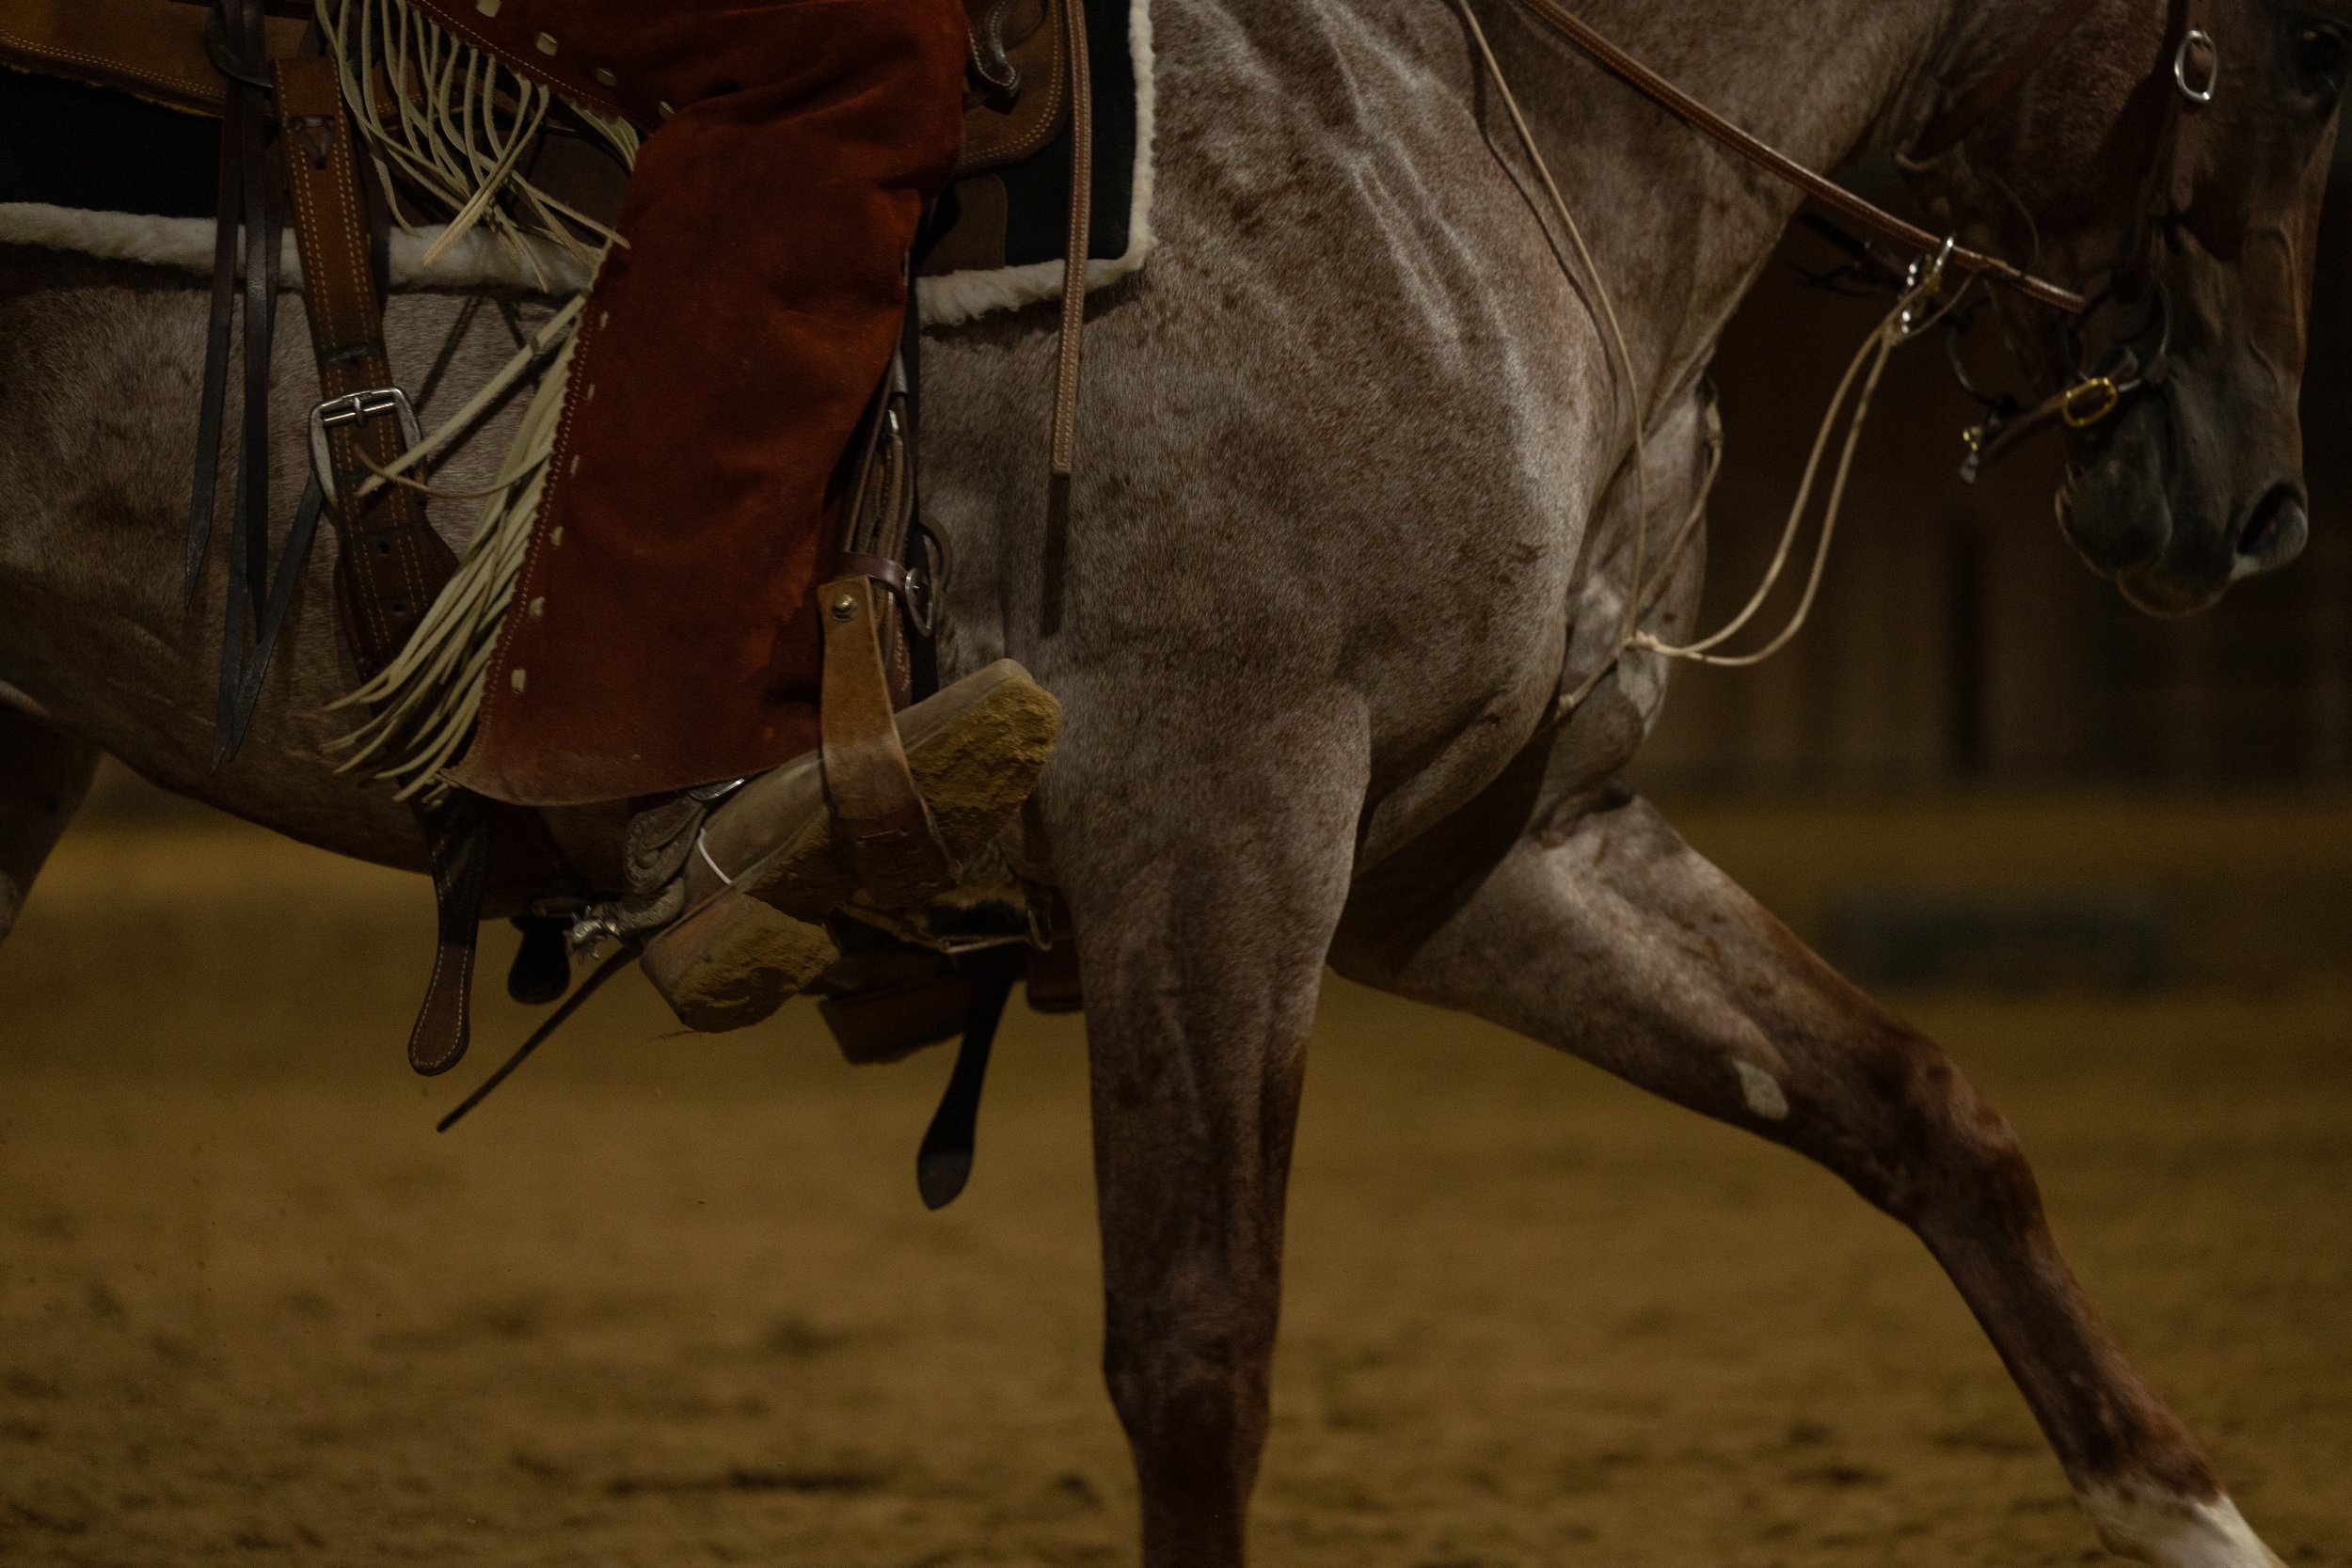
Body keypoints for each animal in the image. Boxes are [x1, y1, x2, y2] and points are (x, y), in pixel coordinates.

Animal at [0, 0, 2335, 1562]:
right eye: (2291, 57)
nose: (2248, 502)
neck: (1472, 147)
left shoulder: (1478, 851)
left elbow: (1916, 1108)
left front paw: (2186, 1508)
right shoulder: (1216, 816)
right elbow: (1197, 1353)